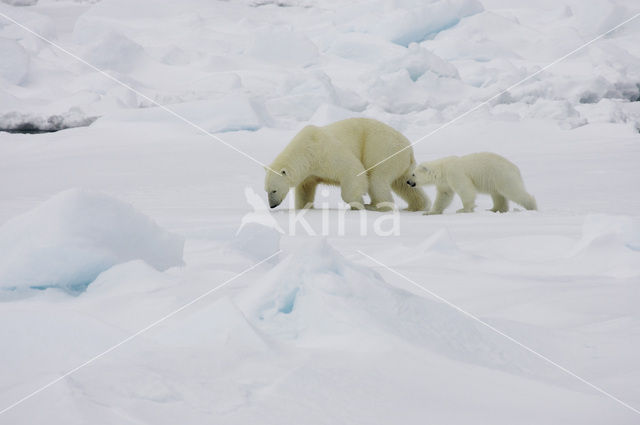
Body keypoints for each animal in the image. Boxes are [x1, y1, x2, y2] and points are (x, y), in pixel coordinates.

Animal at [262, 117, 428, 210]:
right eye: (266, 190)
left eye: (274, 190)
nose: (272, 205)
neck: (305, 149)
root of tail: (409, 147)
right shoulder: (308, 171)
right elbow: (305, 189)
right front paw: (304, 208)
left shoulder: (324, 153)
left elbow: (352, 169)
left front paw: (358, 203)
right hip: (402, 164)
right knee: (405, 183)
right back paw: (417, 205)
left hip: (383, 150)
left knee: (376, 179)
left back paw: (375, 206)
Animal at [408, 152, 536, 214]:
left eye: (413, 174)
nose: (408, 182)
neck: (442, 169)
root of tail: (515, 168)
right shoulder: (445, 182)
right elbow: (444, 196)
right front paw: (431, 212)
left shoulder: (455, 174)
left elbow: (465, 189)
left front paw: (463, 210)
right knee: (498, 195)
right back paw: (493, 209)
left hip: (503, 176)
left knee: (514, 192)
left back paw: (532, 207)